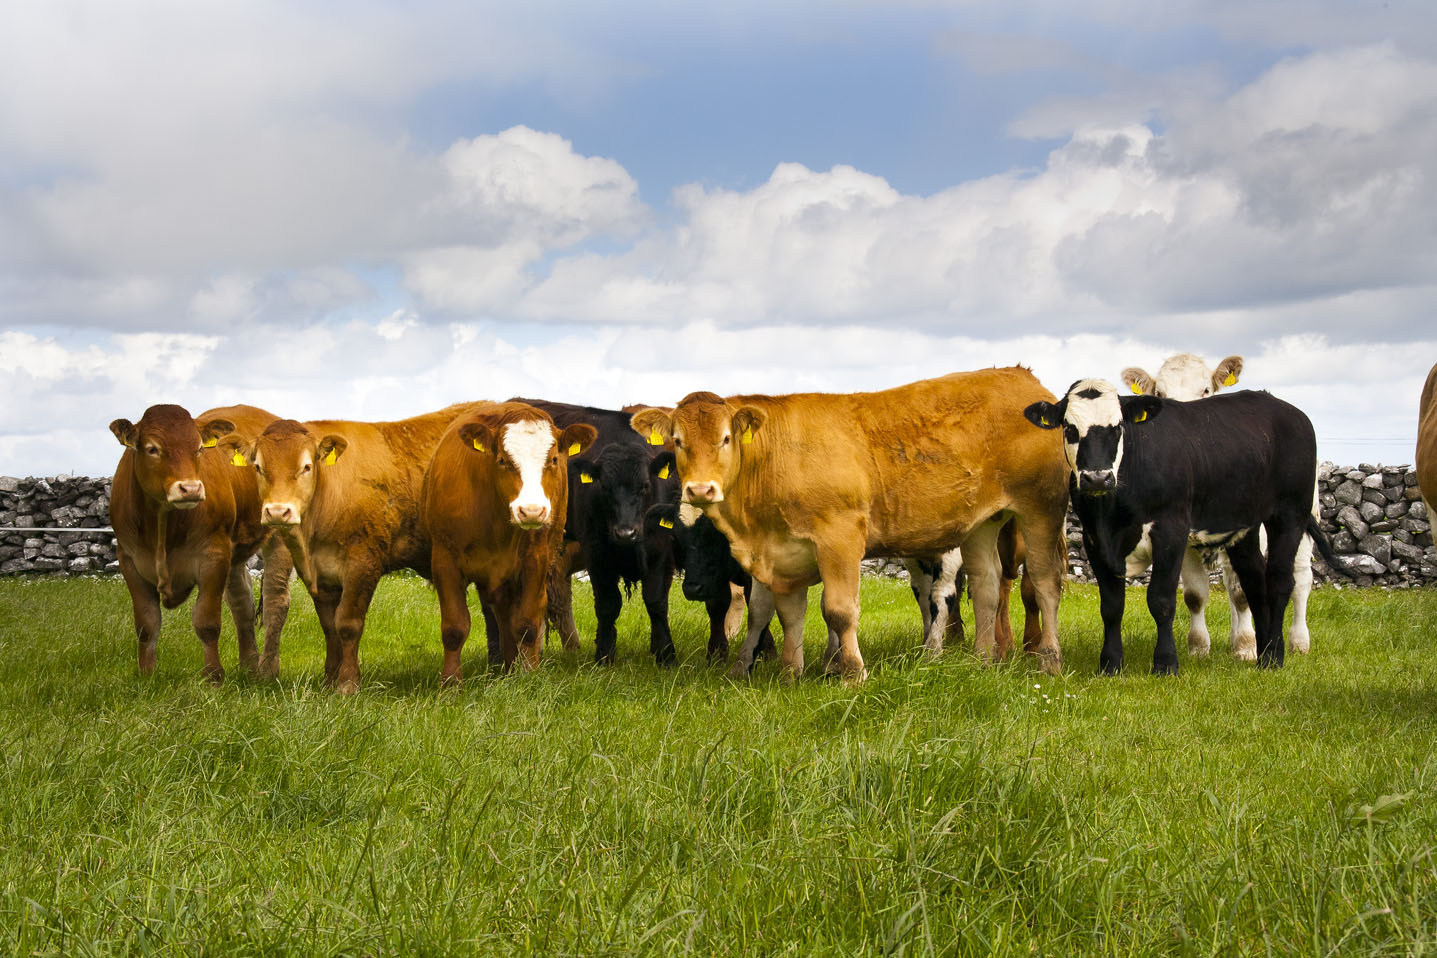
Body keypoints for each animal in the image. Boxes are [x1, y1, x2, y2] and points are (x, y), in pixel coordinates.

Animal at [225, 402, 482, 692]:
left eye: (306, 466)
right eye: (258, 466)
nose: (278, 511)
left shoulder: (363, 566)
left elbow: (348, 625)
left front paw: (348, 683)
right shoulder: (319, 576)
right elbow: (329, 627)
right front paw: (329, 680)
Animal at [419, 402, 594, 677]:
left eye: (554, 459)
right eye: (502, 460)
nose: (531, 511)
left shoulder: (536, 561)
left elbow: (527, 623)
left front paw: (529, 675)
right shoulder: (444, 562)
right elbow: (454, 629)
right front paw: (450, 682)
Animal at [511, 402, 678, 663]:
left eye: (645, 485)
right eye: (604, 487)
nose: (625, 533)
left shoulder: (660, 547)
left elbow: (656, 601)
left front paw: (665, 653)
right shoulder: (596, 551)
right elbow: (607, 605)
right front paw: (605, 655)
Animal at [629, 367, 1069, 680]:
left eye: (725, 438)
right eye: (678, 441)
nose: (700, 489)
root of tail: (1022, 378)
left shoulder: (838, 539)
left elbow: (838, 610)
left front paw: (851, 672)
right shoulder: (785, 555)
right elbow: (787, 614)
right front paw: (790, 673)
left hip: (1041, 510)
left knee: (1044, 582)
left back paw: (1049, 659)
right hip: (982, 523)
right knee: (986, 586)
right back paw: (982, 659)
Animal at [1017, 379, 1339, 675]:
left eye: (1117, 427)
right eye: (1070, 428)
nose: (1097, 477)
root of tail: (1286, 409)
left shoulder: (1170, 531)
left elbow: (1161, 600)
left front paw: (1166, 663)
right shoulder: (1094, 539)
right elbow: (1110, 606)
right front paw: (1110, 664)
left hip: (1290, 514)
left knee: (1281, 581)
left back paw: (1274, 656)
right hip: (1244, 526)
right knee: (1254, 583)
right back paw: (1260, 652)